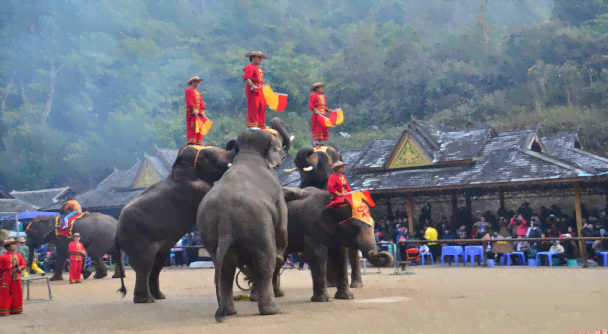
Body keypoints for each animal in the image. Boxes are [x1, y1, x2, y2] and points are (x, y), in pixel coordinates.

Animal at [114, 144, 238, 302]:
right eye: (209, 155)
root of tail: (116, 234)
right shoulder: (196, 189)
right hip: (137, 239)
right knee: (145, 265)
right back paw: (146, 300)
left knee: (157, 263)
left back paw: (159, 296)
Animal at [196, 118, 288, 324]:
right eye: (277, 143)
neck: (248, 153)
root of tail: (224, 221)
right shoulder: (277, 190)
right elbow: (282, 224)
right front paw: (280, 257)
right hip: (258, 228)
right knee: (265, 262)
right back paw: (272, 310)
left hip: (209, 233)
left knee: (224, 269)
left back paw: (229, 312)